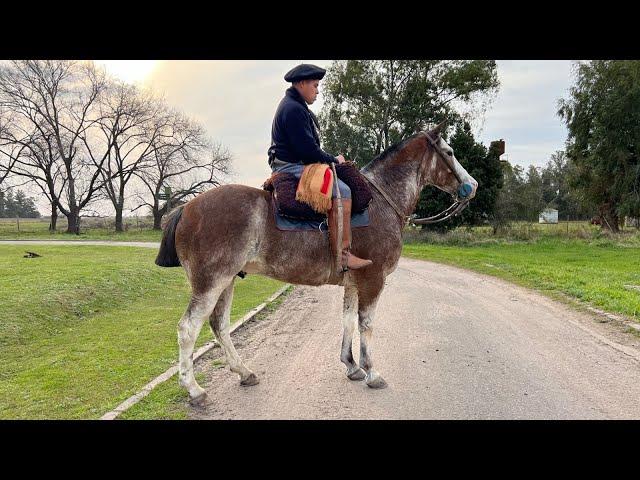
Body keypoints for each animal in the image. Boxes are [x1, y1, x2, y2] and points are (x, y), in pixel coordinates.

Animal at [156, 123, 476, 404]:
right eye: (449, 152)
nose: (472, 186)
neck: (380, 201)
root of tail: (187, 208)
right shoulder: (373, 279)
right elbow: (366, 324)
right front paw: (371, 372)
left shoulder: (354, 281)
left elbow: (348, 321)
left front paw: (351, 366)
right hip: (211, 281)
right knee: (188, 329)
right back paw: (194, 390)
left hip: (228, 280)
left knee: (219, 325)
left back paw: (244, 372)